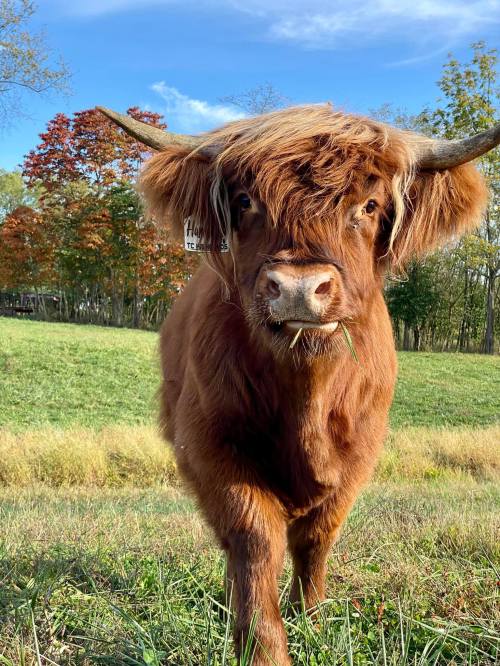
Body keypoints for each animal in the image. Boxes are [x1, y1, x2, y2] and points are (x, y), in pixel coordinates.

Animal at [100, 104, 498, 665]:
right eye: (245, 201)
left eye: (368, 204)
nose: (298, 289)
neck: (308, 395)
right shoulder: (210, 442)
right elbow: (253, 537)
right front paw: (261, 645)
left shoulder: (361, 450)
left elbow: (317, 536)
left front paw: (310, 617)